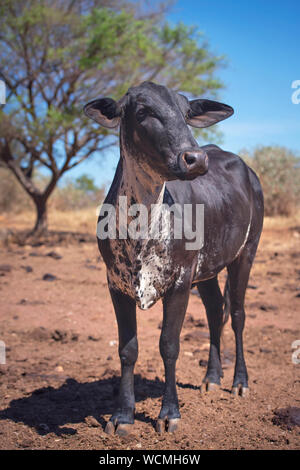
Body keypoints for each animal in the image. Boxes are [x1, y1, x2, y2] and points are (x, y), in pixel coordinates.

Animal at [84, 81, 262, 436]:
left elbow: (169, 345)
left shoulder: (179, 282)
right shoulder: (115, 284)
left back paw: (239, 381)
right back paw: (212, 377)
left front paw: (169, 413)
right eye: (142, 111)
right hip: (207, 270)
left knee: (237, 314)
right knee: (215, 311)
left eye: (186, 112)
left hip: (245, 253)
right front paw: (122, 416)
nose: (195, 158)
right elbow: (128, 349)